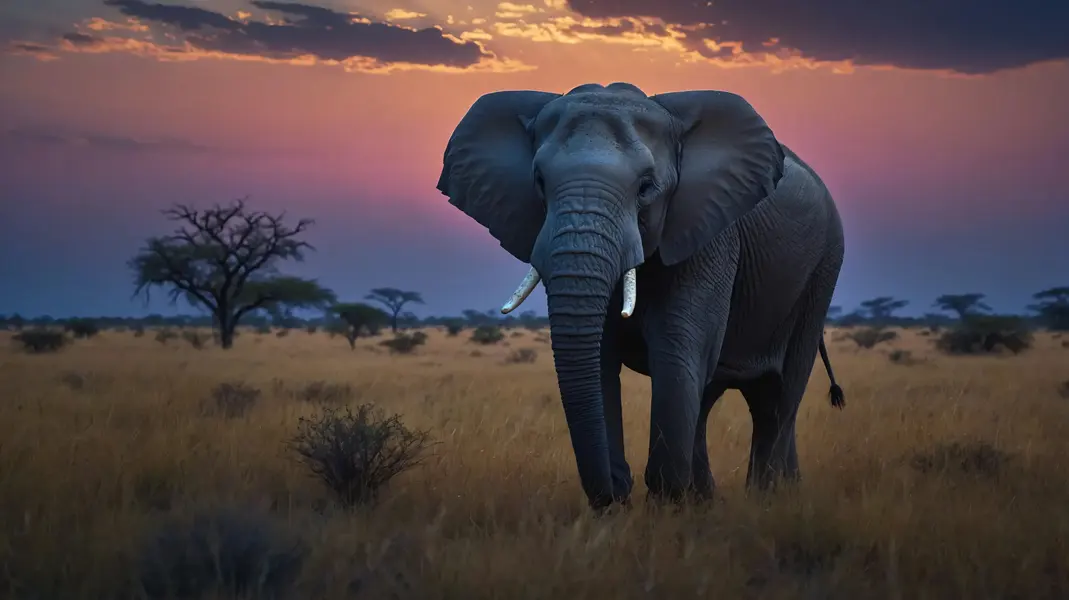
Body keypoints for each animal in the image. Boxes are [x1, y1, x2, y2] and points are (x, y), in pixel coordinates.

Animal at [436, 82, 846, 511]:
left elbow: (676, 348)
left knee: (777, 397)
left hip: (823, 268)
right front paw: (623, 506)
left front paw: (663, 508)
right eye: (539, 182)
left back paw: (764, 501)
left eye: (646, 188)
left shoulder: (709, 232)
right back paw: (721, 499)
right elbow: (601, 358)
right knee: (716, 395)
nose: (613, 492)